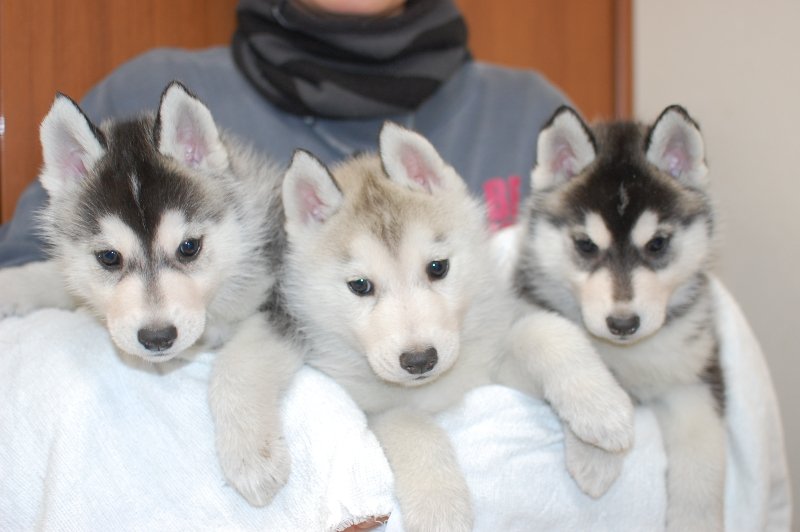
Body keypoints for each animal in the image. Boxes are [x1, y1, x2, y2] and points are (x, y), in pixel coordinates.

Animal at [278, 122, 636, 528]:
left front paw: (598, 422)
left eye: (437, 267)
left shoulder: (493, 372)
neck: (435, 388)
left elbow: (544, 330)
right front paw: (441, 508)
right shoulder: (374, 409)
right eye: (360, 286)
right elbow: (412, 425)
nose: (420, 360)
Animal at [516, 105, 728, 532]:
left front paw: (694, 519)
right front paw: (596, 446)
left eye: (658, 244)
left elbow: (704, 454)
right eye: (585, 245)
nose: (623, 324)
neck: (629, 355)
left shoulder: (695, 377)